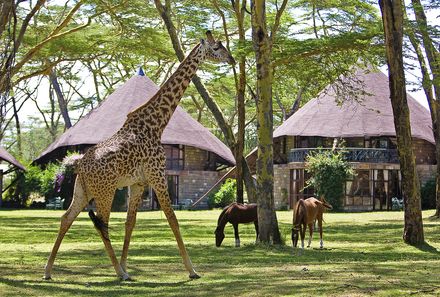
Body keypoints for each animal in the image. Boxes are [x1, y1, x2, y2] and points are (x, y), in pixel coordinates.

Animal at [44, 30, 235, 280]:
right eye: (217, 47)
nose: (232, 59)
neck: (157, 124)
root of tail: (80, 165)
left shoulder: (138, 183)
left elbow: (130, 222)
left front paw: (126, 264)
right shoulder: (158, 176)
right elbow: (172, 219)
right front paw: (192, 270)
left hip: (83, 190)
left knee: (67, 218)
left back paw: (48, 271)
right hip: (105, 191)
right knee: (101, 223)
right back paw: (118, 273)